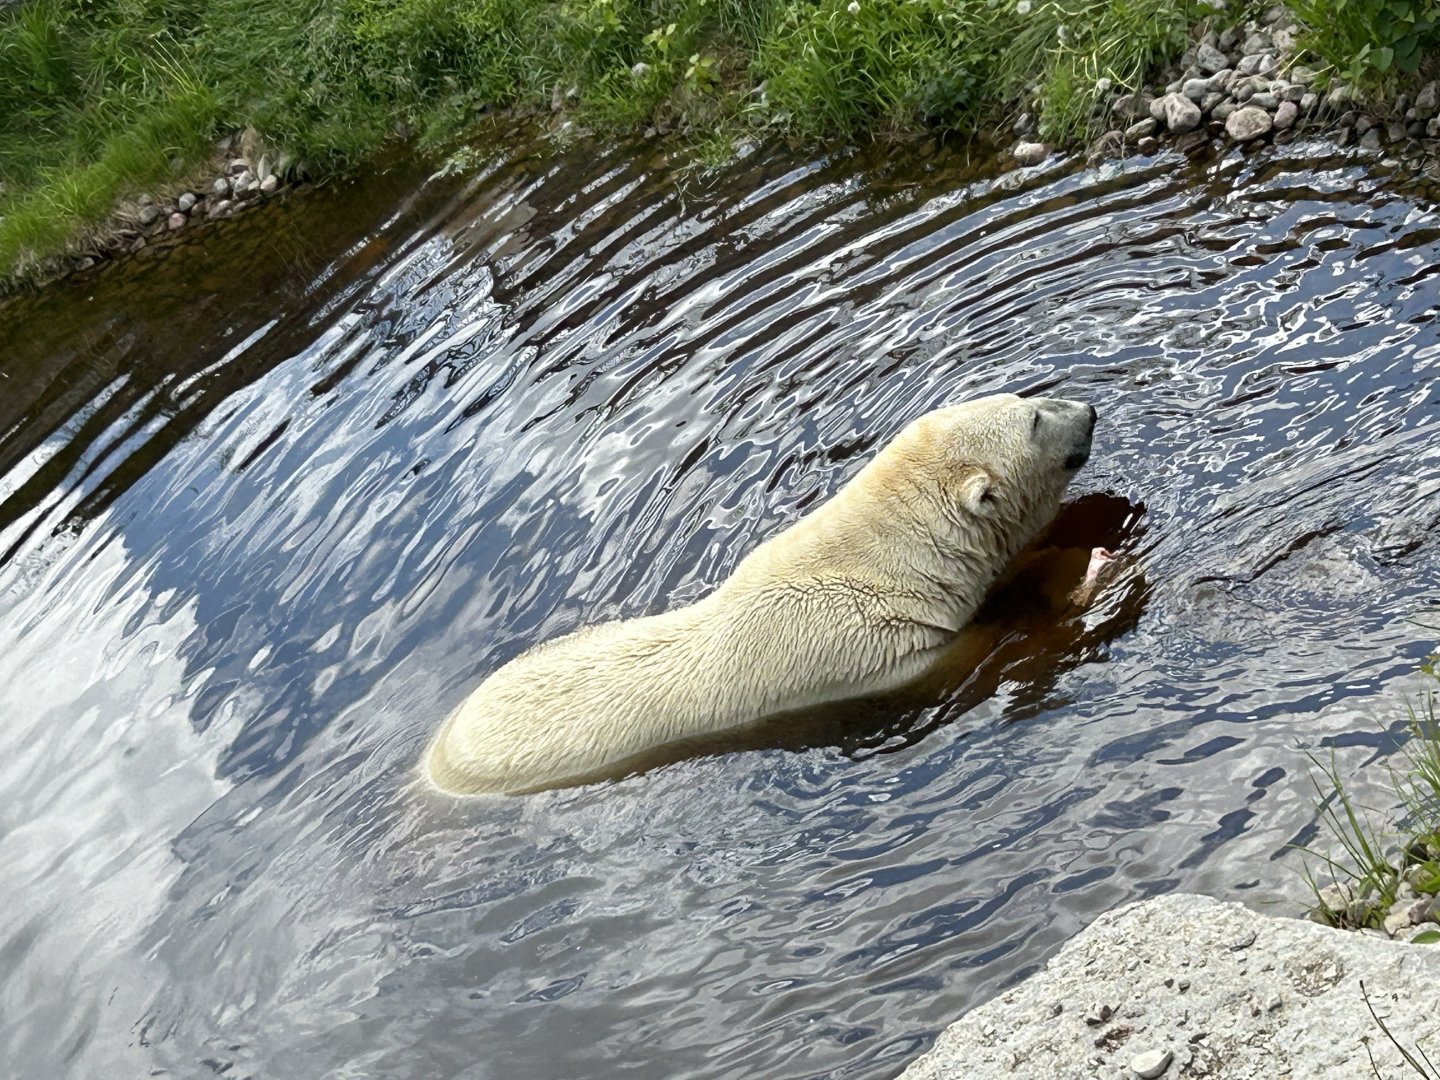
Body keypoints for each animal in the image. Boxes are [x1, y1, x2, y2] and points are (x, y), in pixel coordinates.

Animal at [421, 392, 1099, 796]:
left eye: (1027, 398)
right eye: (1035, 419)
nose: (1089, 410)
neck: (881, 562)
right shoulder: (875, 653)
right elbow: (976, 653)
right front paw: (1076, 576)